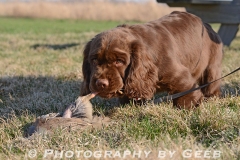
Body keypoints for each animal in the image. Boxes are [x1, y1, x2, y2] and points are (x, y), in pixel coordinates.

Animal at [80, 11, 223, 109]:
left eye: (119, 61)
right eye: (94, 60)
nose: (101, 83)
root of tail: (208, 26)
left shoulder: (181, 76)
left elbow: (186, 95)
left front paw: (189, 107)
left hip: (211, 69)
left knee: (211, 86)